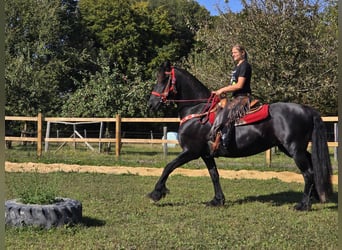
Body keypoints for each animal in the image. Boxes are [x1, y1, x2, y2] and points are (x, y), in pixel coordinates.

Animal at [147, 61, 332, 211]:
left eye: (163, 79)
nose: (151, 104)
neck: (198, 111)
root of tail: (307, 109)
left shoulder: (191, 151)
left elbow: (169, 166)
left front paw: (156, 193)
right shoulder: (206, 154)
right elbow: (214, 175)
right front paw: (218, 200)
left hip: (294, 149)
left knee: (308, 173)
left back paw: (303, 205)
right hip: (292, 148)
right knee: (312, 166)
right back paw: (315, 196)